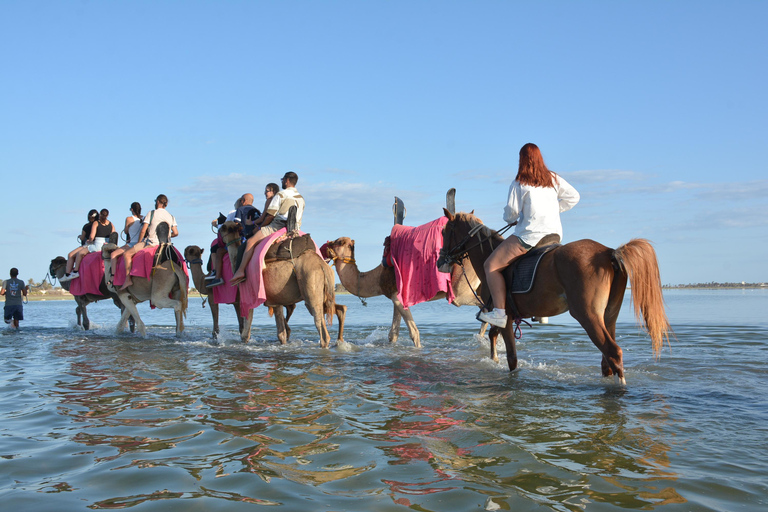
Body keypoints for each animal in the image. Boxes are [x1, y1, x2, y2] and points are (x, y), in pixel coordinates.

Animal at [322, 236, 498, 348]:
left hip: (460, 290)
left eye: (339, 242)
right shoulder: (394, 297)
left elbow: (414, 333)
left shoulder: (398, 297)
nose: (325, 245)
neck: (377, 277)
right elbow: (393, 334)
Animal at [438, 209, 672, 384]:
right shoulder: (505, 316)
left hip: (587, 315)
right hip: (609, 316)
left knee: (613, 352)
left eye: (444, 231)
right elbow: (493, 336)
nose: (440, 261)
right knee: (607, 360)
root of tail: (608, 252)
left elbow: (512, 358)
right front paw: (494, 360)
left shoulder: (504, 316)